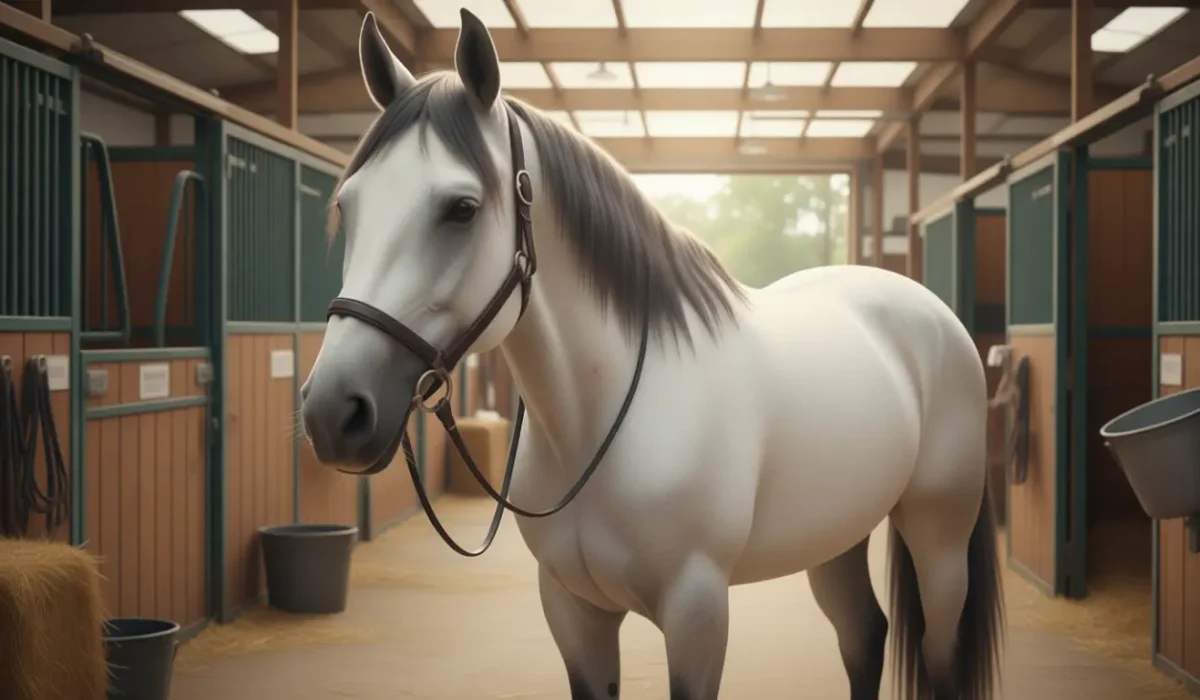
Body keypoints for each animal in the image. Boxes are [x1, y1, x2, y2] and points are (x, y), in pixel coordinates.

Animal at [300, 9, 1004, 700]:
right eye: (347, 206)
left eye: (462, 209)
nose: (332, 412)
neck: (601, 422)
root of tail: (929, 310)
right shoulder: (573, 611)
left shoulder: (697, 611)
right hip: (836, 534)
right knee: (863, 636)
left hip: (938, 537)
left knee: (938, 653)